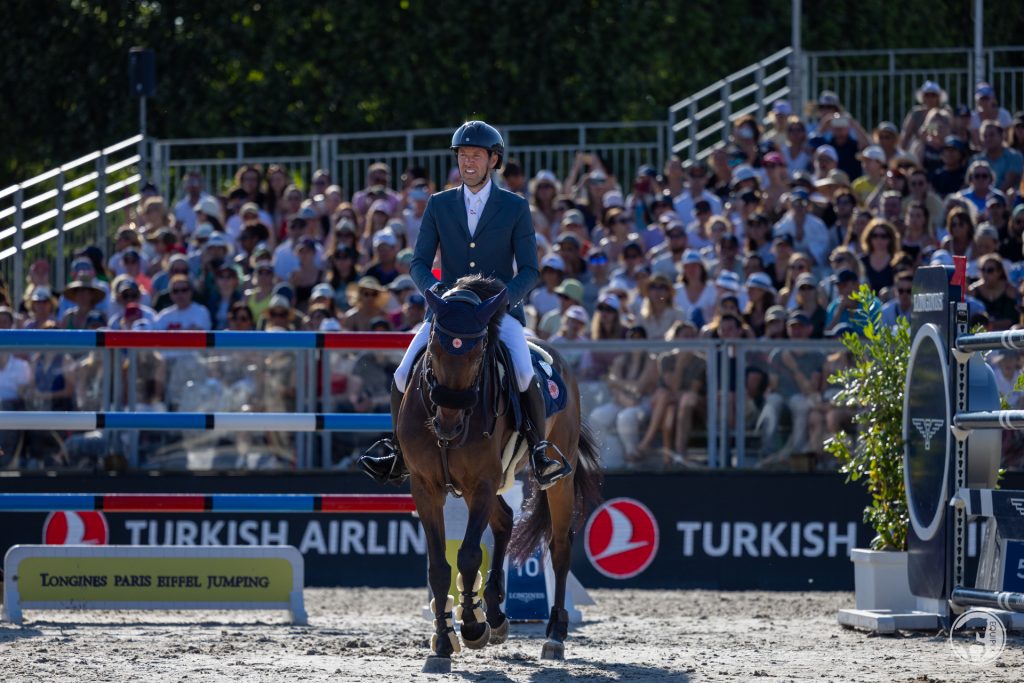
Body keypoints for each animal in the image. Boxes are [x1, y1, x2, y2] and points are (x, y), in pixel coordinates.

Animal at [399, 274, 602, 671]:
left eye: (479, 354)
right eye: (434, 349)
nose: (448, 426)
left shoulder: (481, 483)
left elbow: (468, 555)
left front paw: (471, 628)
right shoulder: (426, 486)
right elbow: (439, 566)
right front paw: (444, 640)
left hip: (556, 479)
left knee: (559, 545)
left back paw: (554, 635)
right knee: (506, 520)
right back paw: (495, 613)